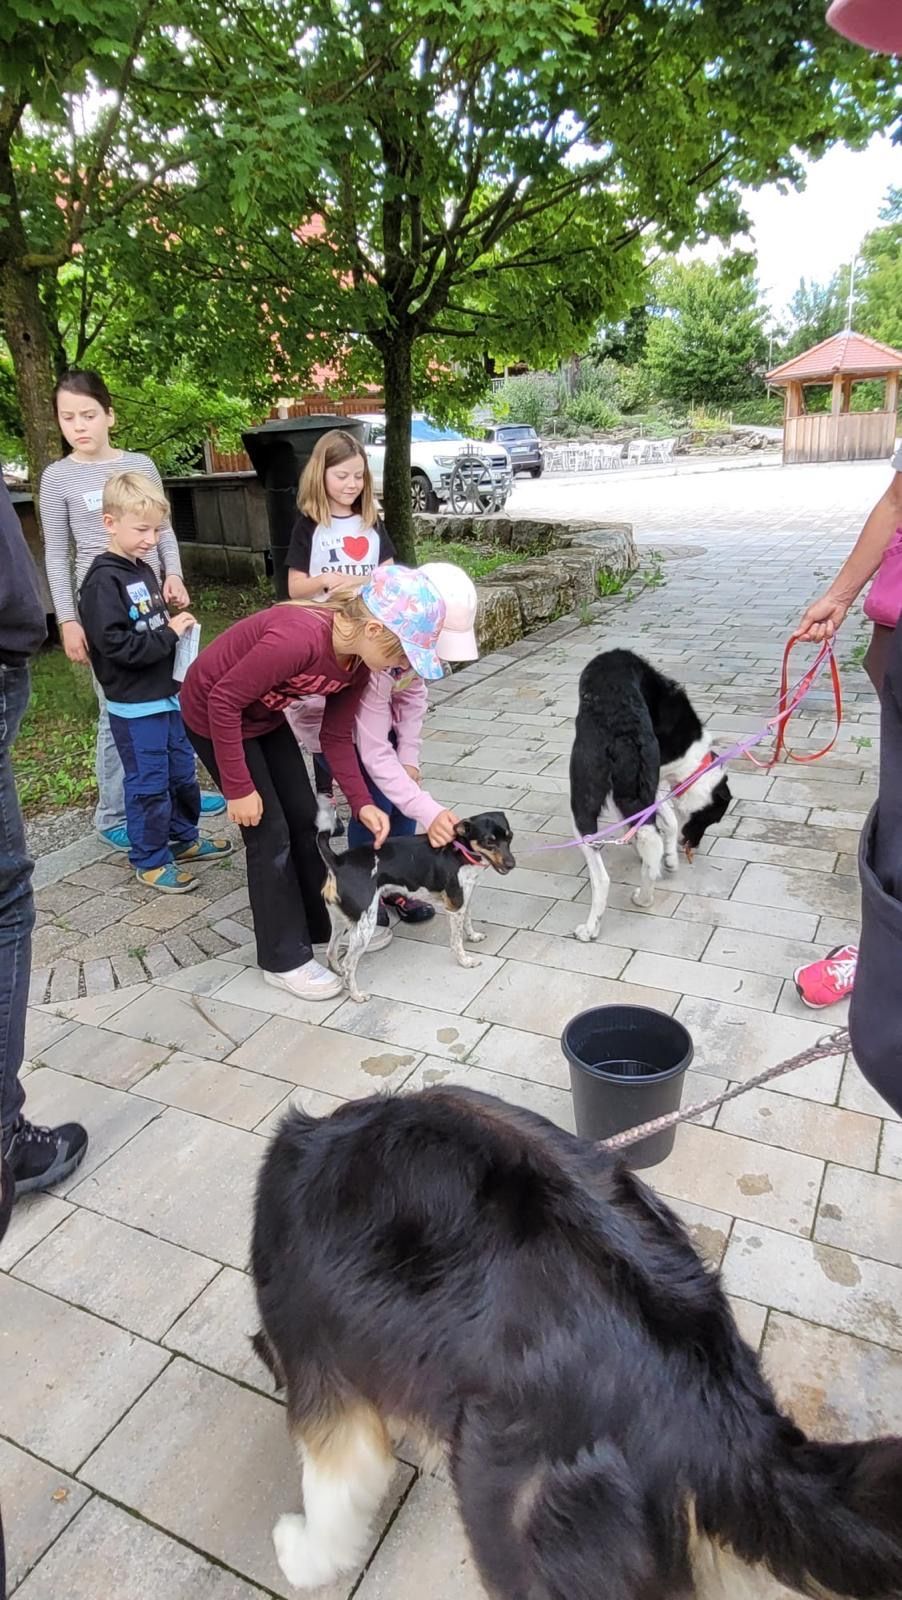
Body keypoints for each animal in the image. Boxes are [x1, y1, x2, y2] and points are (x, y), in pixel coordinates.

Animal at [316, 810, 515, 1002]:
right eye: (489, 841)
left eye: (510, 837)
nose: (512, 864)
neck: (461, 852)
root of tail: (337, 862)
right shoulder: (454, 906)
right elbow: (456, 940)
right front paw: (465, 961)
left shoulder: (464, 898)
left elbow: (468, 920)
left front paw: (473, 936)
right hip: (365, 925)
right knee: (349, 964)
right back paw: (356, 995)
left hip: (340, 921)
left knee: (331, 950)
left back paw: (338, 973)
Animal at [569, 649, 732, 940]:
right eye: (712, 820)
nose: (693, 846)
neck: (693, 761)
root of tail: (624, 731)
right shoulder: (652, 785)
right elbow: (668, 824)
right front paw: (670, 859)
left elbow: (667, 821)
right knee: (649, 842)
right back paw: (645, 897)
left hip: (581, 802)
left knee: (602, 877)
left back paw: (590, 928)